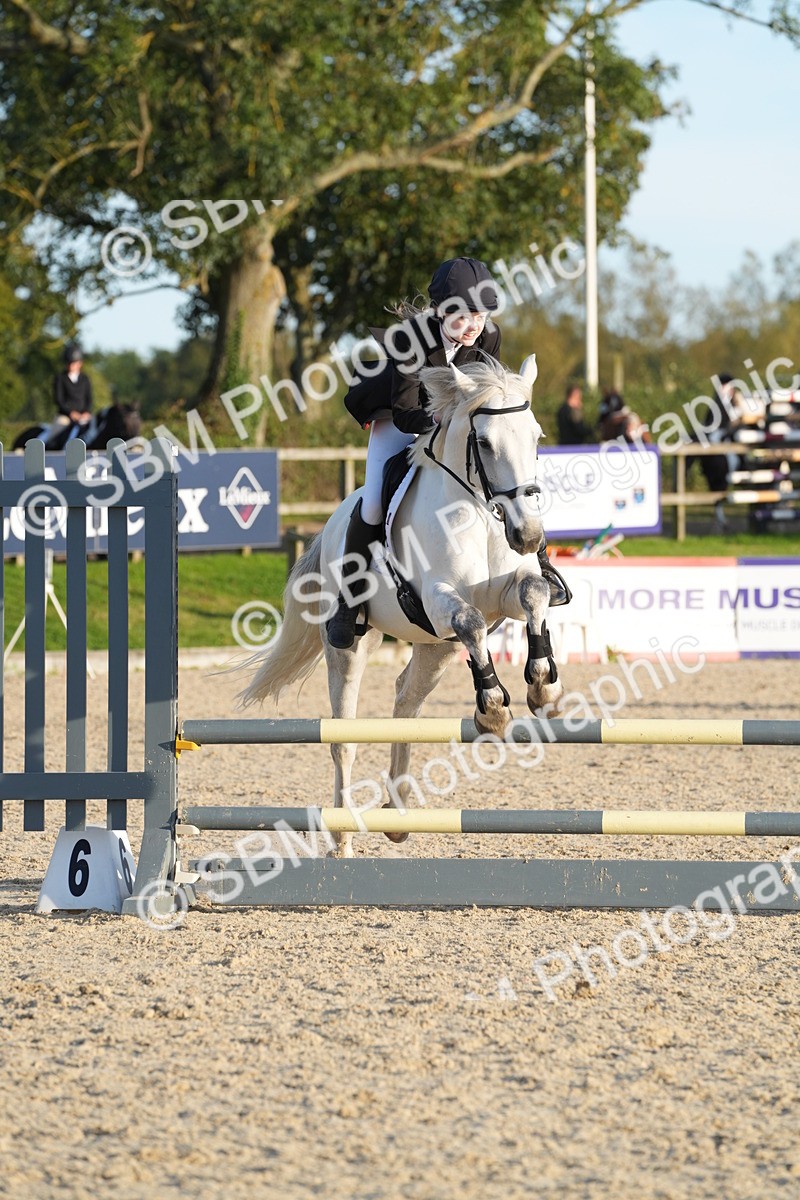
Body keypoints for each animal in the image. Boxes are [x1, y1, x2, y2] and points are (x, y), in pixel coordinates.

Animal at [240, 355, 564, 856]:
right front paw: (493, 710)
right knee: (344, 740)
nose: (528, 536)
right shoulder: (439, 600)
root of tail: (329, 528)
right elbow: (471, 619)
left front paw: (543, 687)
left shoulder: (506, 594)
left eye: (537, 437)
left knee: (405, 702)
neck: (479, 513)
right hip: (351, 649)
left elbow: (534, 595)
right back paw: (342, 838)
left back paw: (396, 813)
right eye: (484, 443)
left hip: (438, 648)